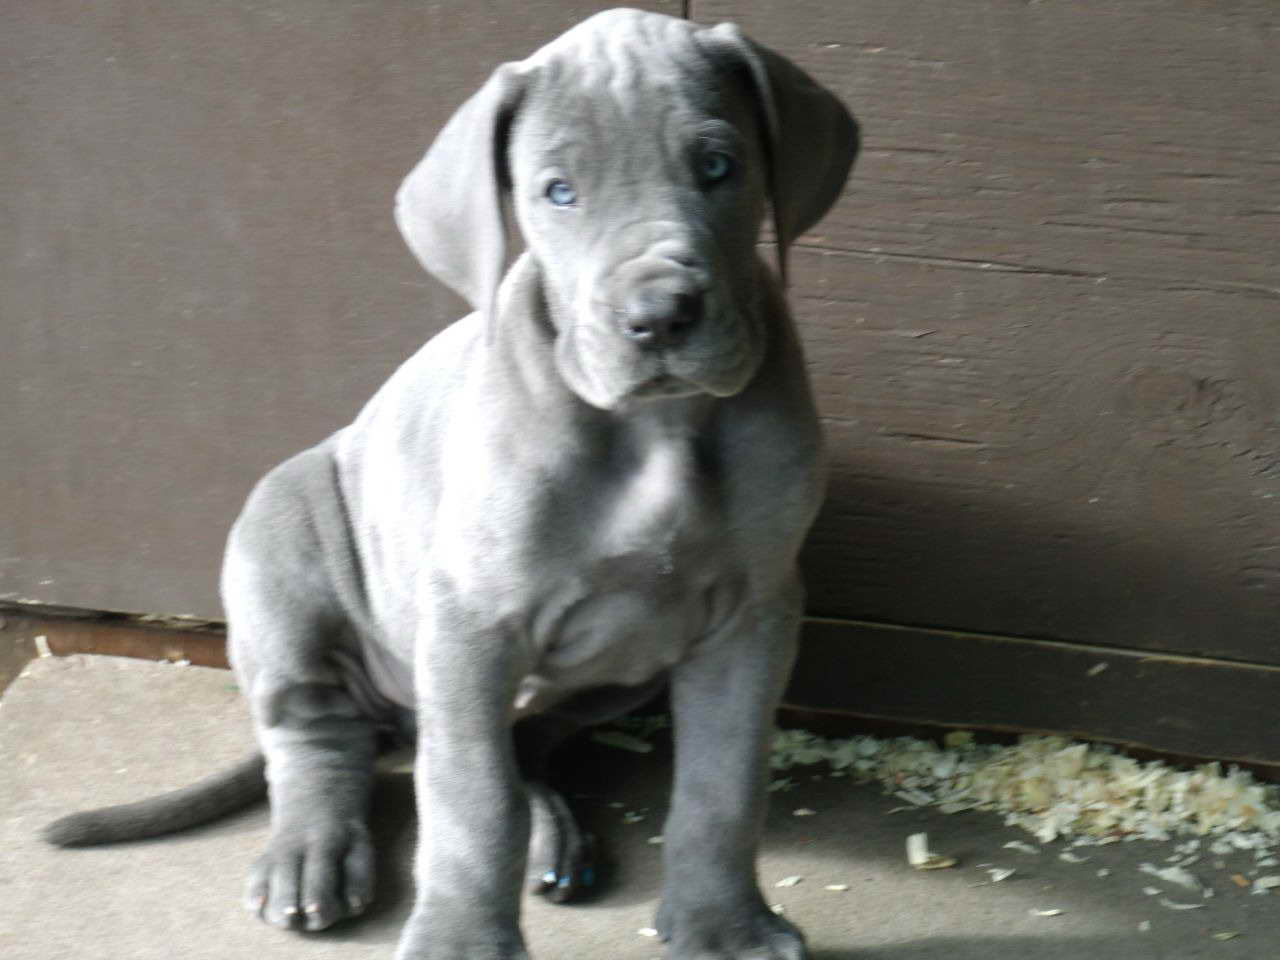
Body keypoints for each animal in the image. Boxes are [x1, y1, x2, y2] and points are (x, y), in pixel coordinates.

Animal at [42, 9, 860, 960]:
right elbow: (471, 801)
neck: (657, 427)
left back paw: (549, 833)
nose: (658, 317)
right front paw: (461, 939)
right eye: (557, 192)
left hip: (616, 672)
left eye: (720, 166)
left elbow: (723, 784)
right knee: (323, 741)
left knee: (518, 747)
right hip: (282, 550)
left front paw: (724, 928)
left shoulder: (754, 612)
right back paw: (311, 855)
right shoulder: (474, 618)